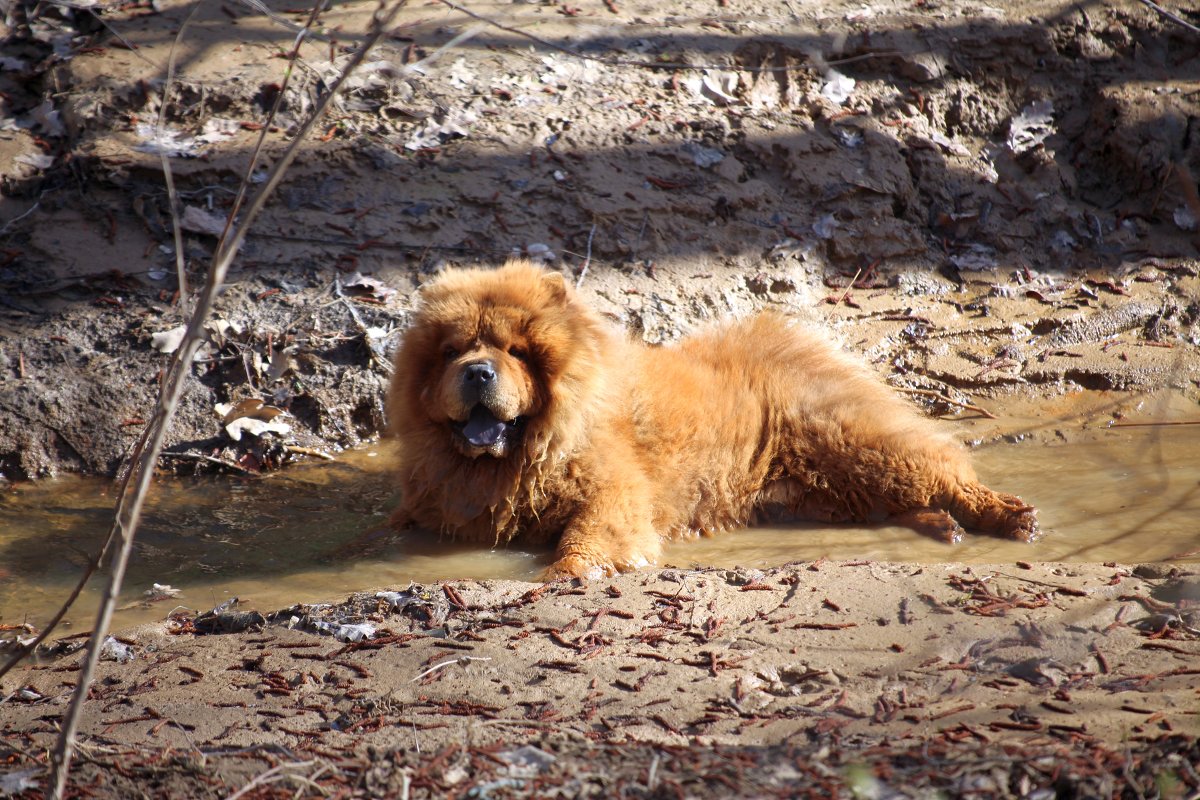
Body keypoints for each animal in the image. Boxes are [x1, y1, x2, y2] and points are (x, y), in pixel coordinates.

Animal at [386, 260, 1041, 578]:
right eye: (453, 351)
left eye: (515, 352)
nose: (478, 372)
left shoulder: (610, 493)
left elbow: (588, 537)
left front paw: (564, 574)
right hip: (825, 492)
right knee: (904, 499)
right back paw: (942, 527)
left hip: (858, 446)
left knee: (948, 475)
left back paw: (1010, 517)